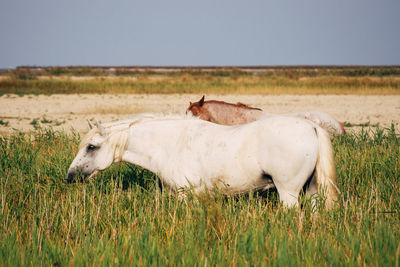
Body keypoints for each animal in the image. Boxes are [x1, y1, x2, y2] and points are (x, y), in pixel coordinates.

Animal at [67, 113, 340, 209]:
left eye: (91, 147)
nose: (70, 176)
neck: (172, 143)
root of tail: (312, 126)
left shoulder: (185, 193)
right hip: (312, 190)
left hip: (289, 193)